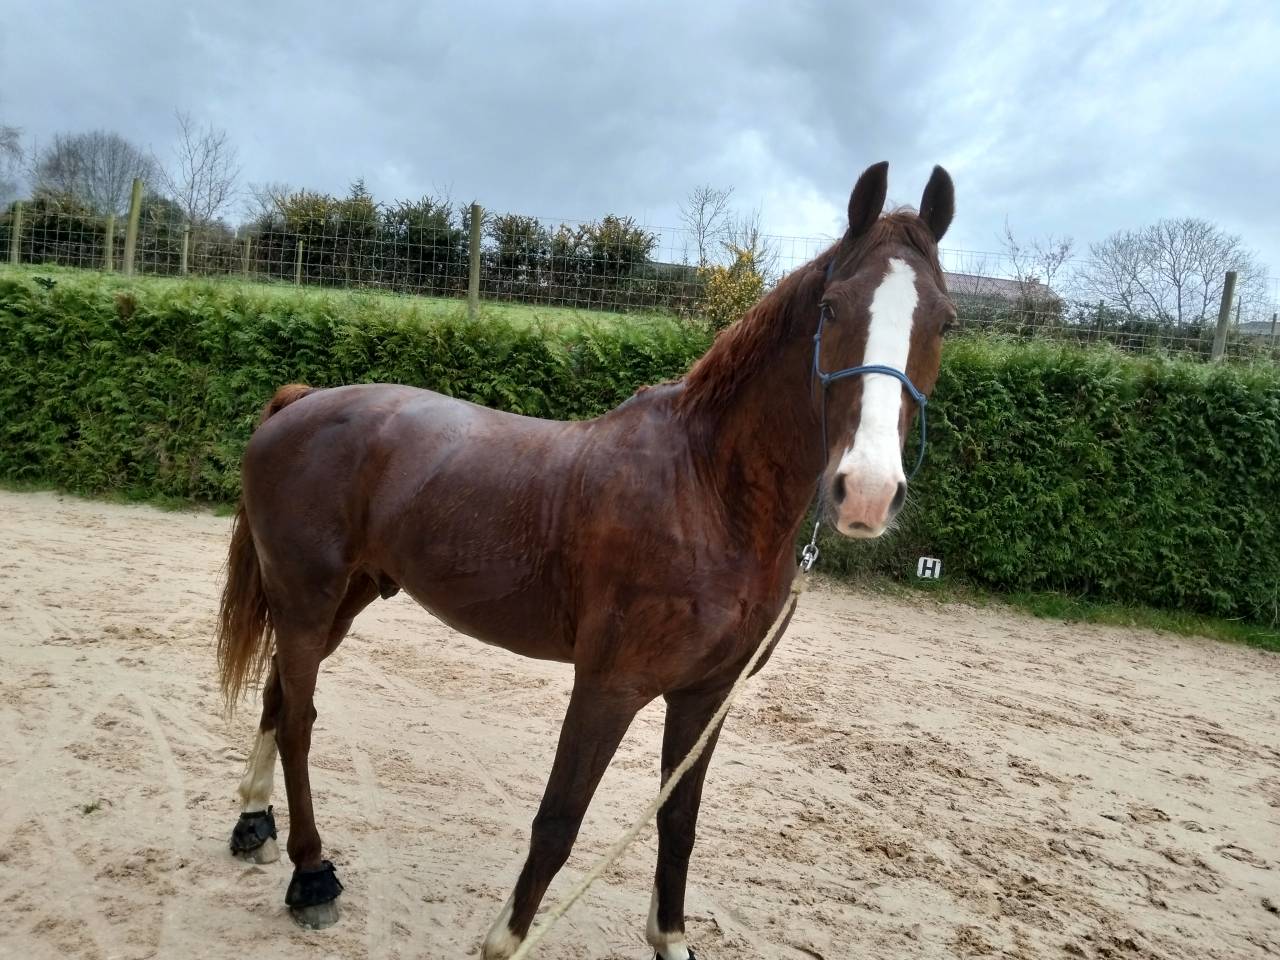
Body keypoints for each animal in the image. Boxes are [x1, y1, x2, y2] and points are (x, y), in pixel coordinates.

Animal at [217, 159, 956, 959]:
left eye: (945, 321)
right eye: (831, 308)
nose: (867, 491)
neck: (706, 491)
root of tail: (300, 403)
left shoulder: (705, 696)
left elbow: (677, 821)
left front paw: (670, 937)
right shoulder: (608, 687)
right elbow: (558, 823)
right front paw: (504, 943)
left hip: (340, 601)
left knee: (278, 697)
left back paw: (254, 824)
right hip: (305, 598)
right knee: (298, 719)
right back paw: (311, 875)